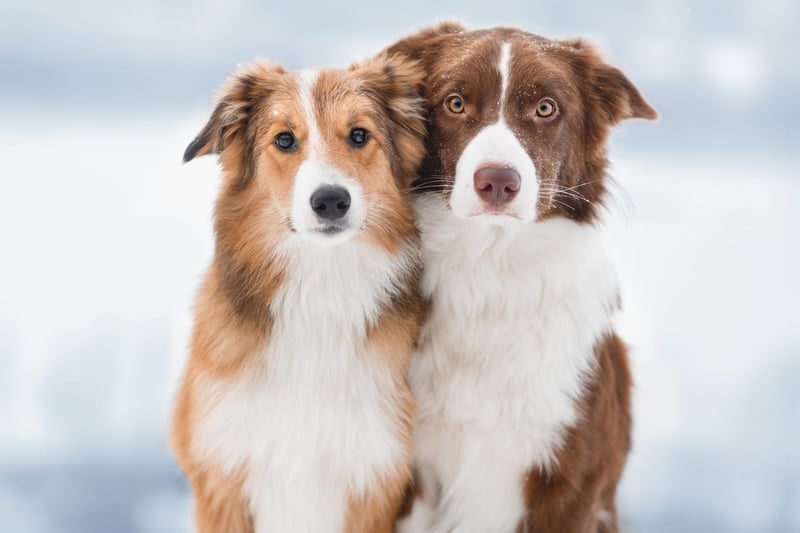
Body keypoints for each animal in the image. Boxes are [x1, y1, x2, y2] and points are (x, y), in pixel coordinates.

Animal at [172, 54, 428, 532]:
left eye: (359, 135)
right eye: (285, 139)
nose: (330, 201)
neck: (319, 288)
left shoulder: (373, 478)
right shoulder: (222, 477)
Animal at [388, 22, 656, 528]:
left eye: (545, 108)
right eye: (455, 103)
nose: (497, 181)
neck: (490, 271)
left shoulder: (570, 479)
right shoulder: (407, 476)